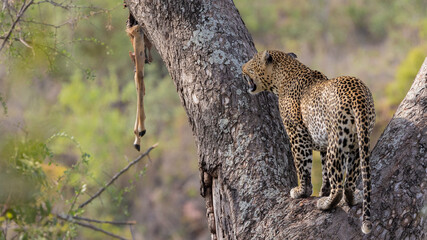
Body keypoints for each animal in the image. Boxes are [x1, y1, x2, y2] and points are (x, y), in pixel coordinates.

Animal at [242, 49, 376, 233]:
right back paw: (352, 198)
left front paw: (302, 191)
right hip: (357, 142)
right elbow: (325, 171)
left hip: (337, 141)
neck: (282, 78)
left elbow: (302, 166)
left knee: (338, 185)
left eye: (251, 62)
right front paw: (323, 191)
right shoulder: (323, 144)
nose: (242, 67)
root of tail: (358, 92)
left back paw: (326, 204)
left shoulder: (297, 134)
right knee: (348, 181)